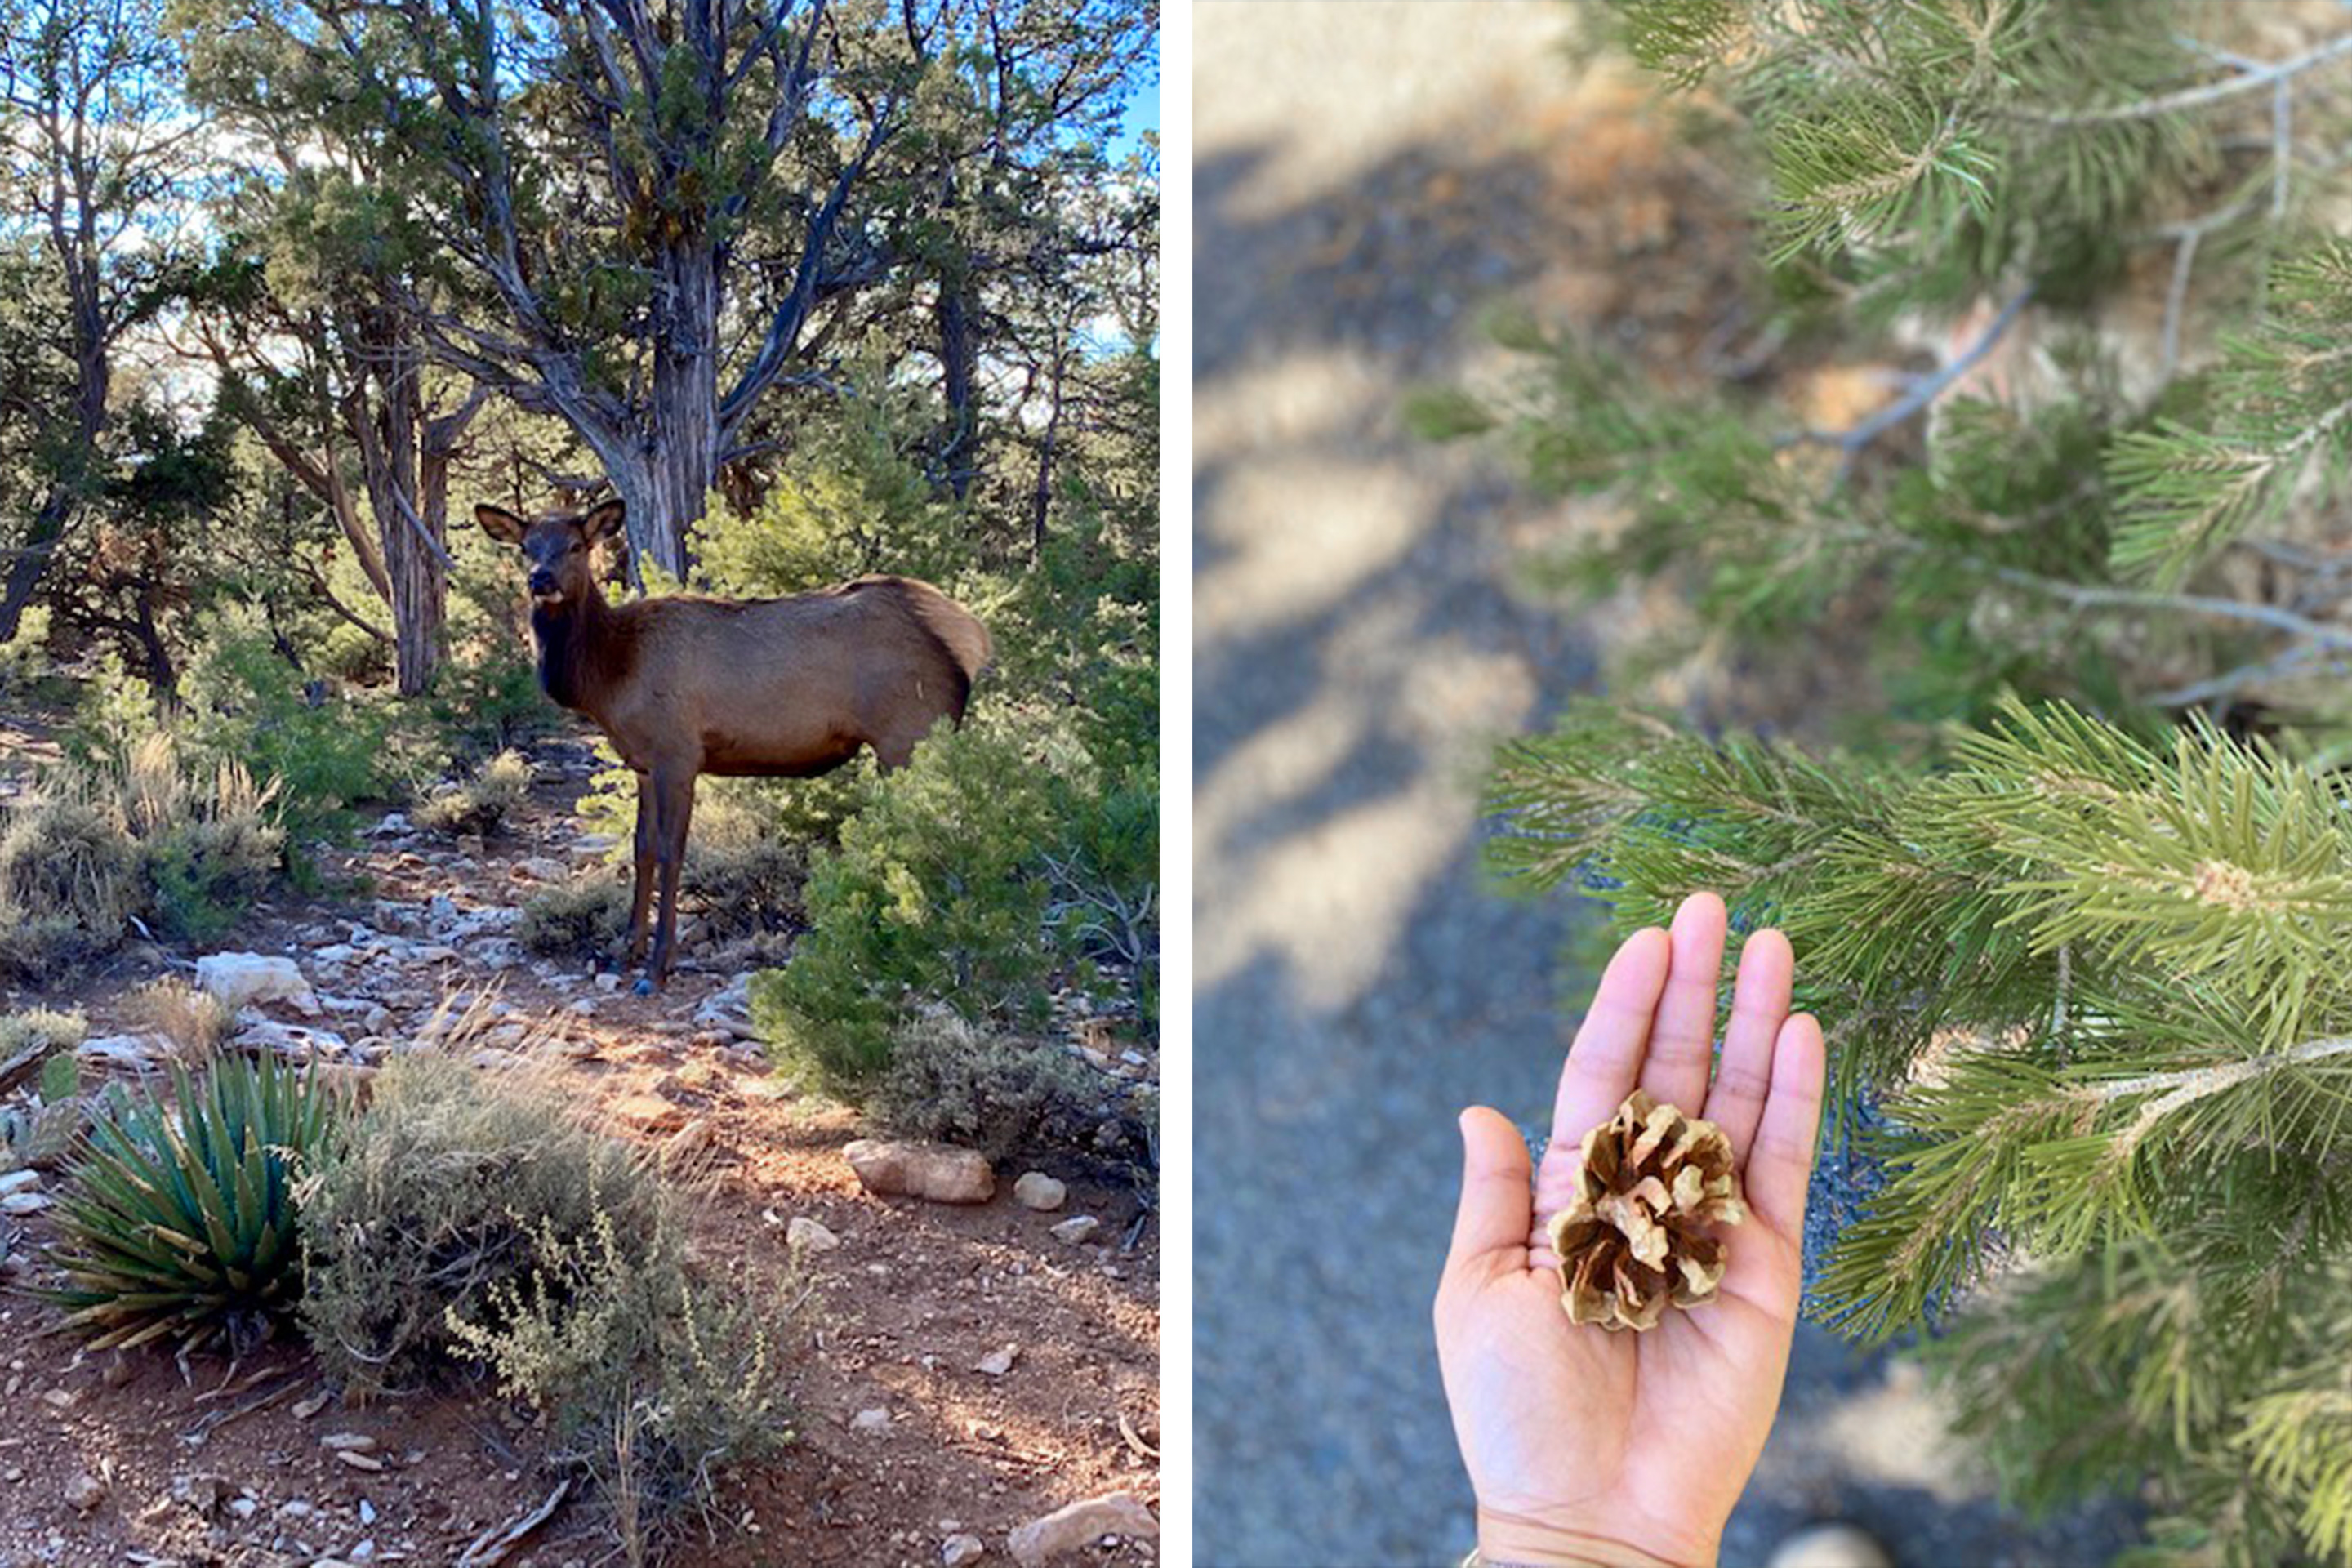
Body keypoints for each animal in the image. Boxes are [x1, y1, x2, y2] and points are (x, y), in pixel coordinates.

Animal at [477, 496, 993, 994]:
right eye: (526, 546)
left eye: (576, 547)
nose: (540, 579)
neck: (609, 674)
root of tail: (971, 639)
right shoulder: (642, 762)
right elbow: (641, 848)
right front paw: (627, 950)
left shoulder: (678, 754)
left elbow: (672, 852)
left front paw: (658, 968)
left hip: (908, 736)